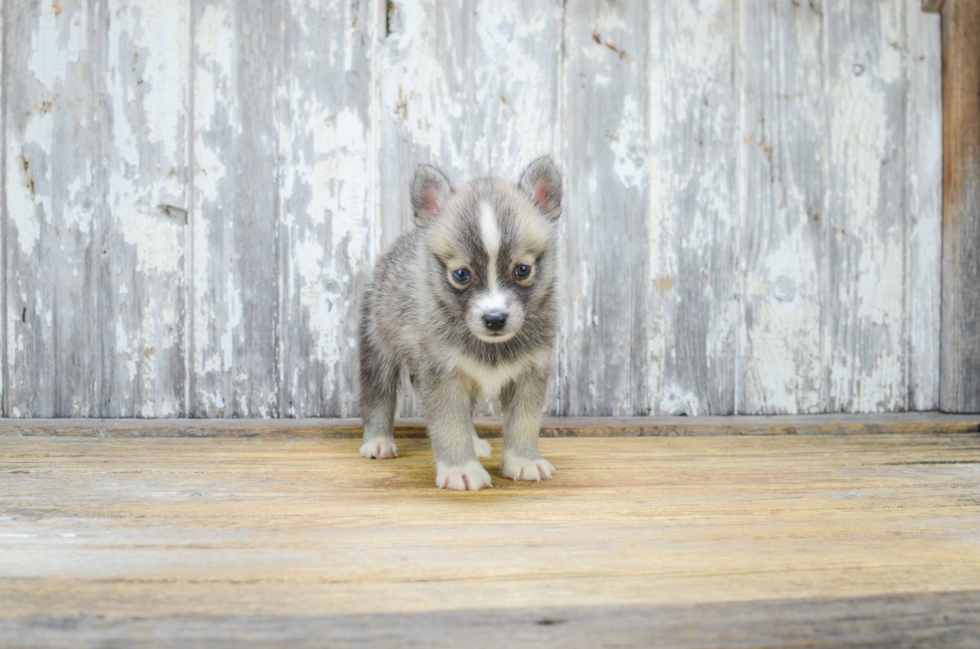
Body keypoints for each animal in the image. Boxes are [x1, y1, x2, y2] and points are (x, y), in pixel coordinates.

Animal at [358, 157, 560, 492]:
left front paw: (523, 460)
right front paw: (461, 468)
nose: (494, 319)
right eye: (461, 274)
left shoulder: (530, 374)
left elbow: (524, 423)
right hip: (377, 348)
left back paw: (475, 442)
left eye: (522, 269)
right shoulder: (442, 376)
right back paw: (378, 441)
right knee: (378, 396)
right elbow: (449, 425)